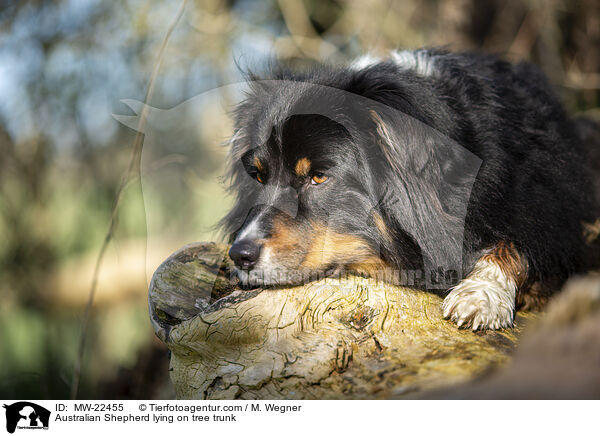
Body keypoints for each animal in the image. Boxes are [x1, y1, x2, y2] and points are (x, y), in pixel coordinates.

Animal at [221, 49, 600, 330]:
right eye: (258, 176)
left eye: (318, 177)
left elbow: (517, 244)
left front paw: (480, 296)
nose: (240, 255)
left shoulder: (547, 202)